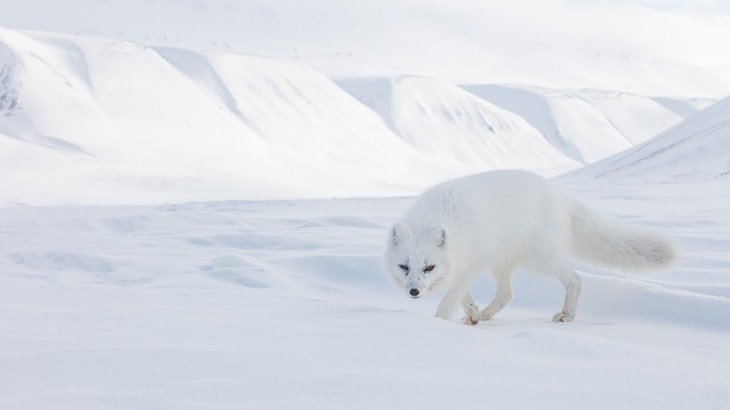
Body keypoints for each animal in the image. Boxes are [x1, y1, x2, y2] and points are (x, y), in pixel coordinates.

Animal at [384, 170, 672, 324]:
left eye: (429, 267)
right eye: (404, 266)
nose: (413, 291)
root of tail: (559, 194)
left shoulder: (469, 265)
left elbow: (449, 301)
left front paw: (437, 325)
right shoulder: (465, 265)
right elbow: (464, 297)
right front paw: (472, 313)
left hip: (542, 258)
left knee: (575, 279)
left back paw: (567, 315)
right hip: (501, 262)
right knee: (506, 295)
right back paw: (484, 316)